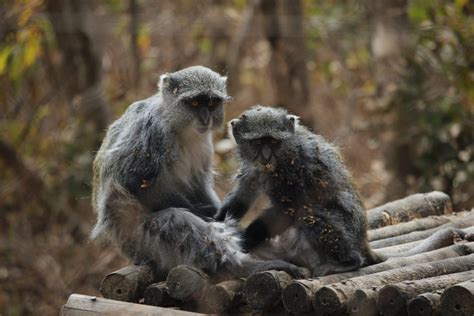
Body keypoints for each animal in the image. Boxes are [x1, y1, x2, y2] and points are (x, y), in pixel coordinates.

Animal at [90, 66, 310, 278]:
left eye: (211, 102)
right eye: (195, 103)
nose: (205, 118)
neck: (178, 126)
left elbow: (199, 185)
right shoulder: (153, 131)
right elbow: (135, 181)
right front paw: (211, 220)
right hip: (142, 244)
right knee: (175, 219)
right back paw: (241, 267)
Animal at [216, 105, 466, 276]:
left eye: (274, 142)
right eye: (258, 142)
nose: (266, 156)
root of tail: (363, 242)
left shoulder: (291, 174)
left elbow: (289, 209)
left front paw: (245, 239)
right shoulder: (253, 169)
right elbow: (243, 196)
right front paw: (217, 223)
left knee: (311, 215)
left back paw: (347, 262)